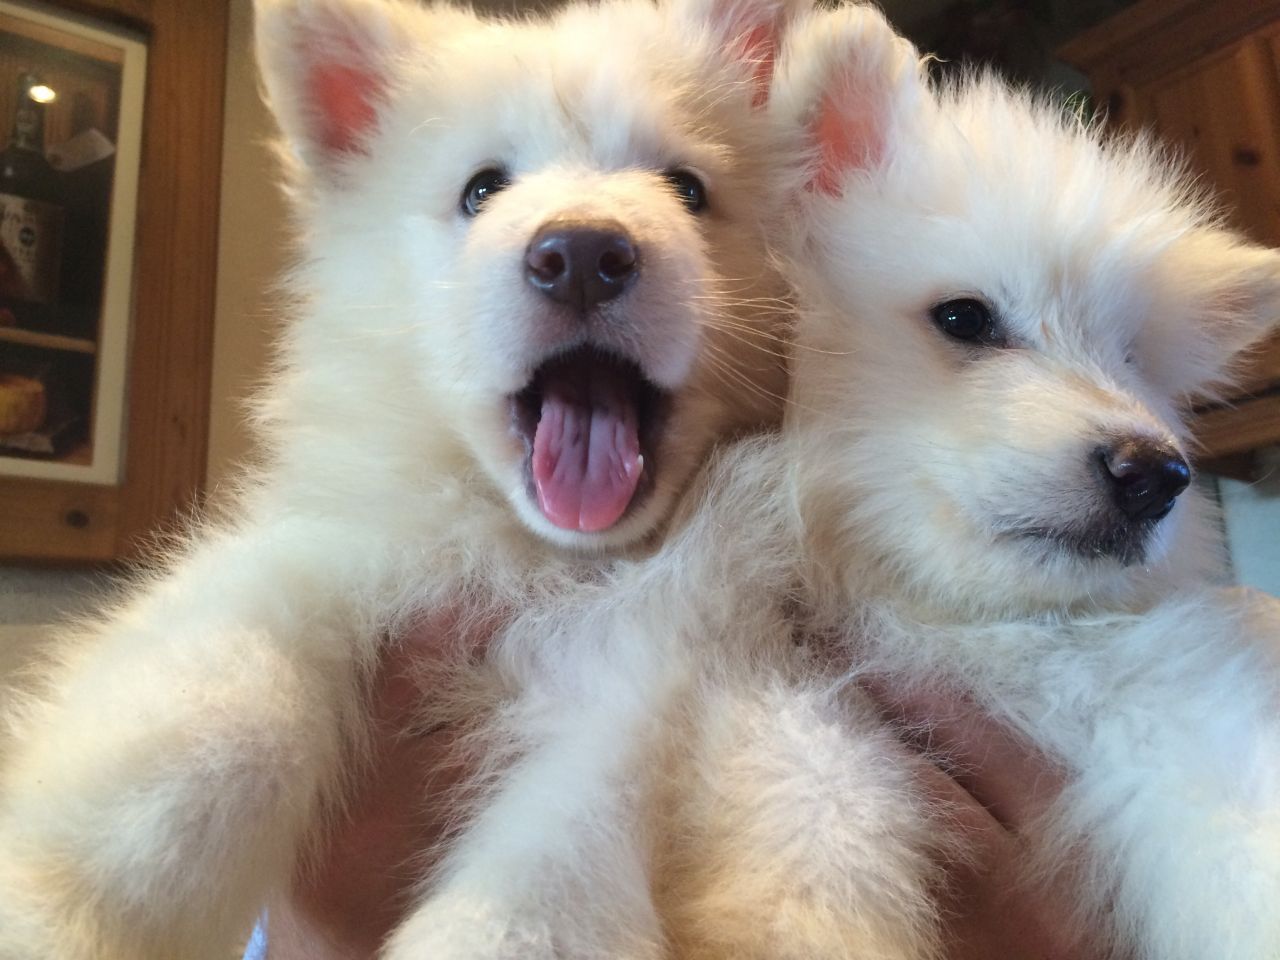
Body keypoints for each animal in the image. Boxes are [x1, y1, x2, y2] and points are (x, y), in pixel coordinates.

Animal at [0, 1, 798, 960]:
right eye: (481, 190)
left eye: (686, 187)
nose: (580, 254)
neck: (537, 559)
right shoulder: (316, 559)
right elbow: (210, 727)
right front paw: (55, 911)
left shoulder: (639, 676)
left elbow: (553, 859)